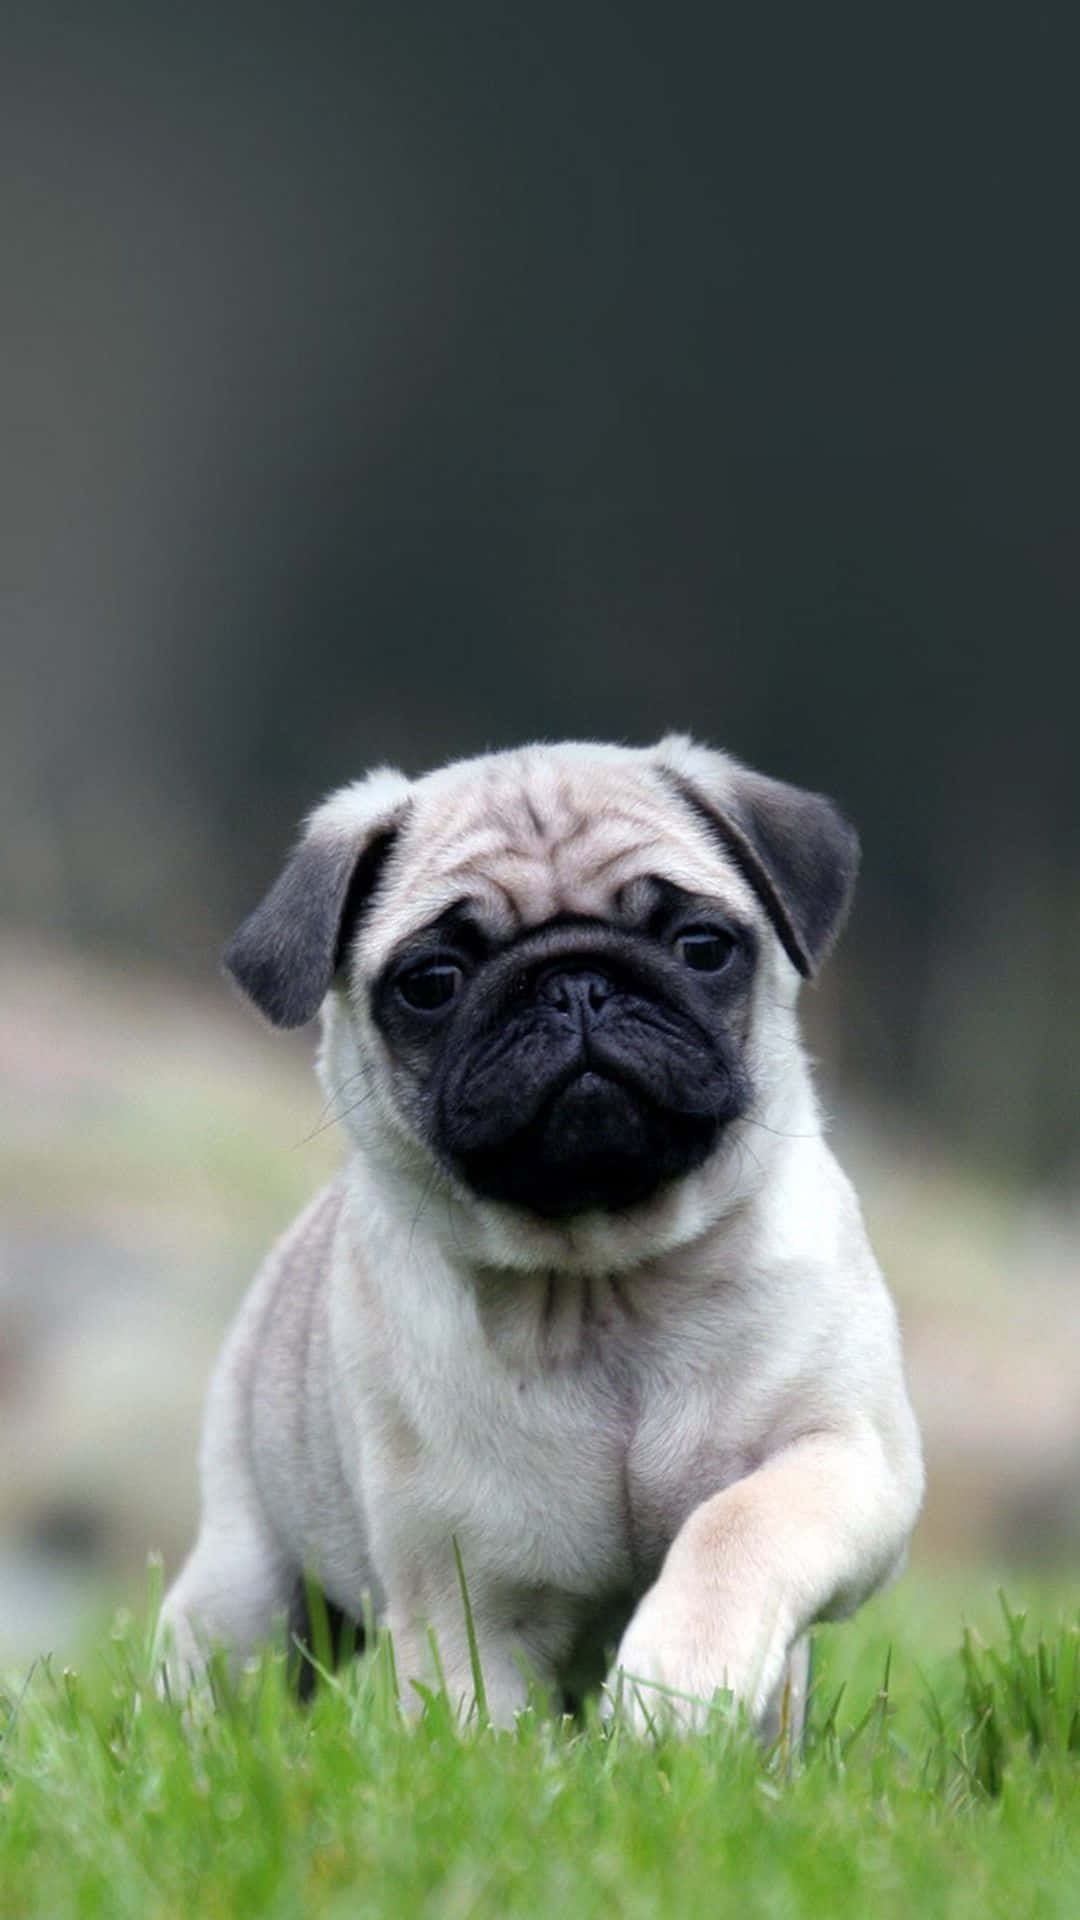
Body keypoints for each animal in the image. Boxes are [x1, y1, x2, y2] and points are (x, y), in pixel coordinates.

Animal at [157, 729, 914, 1728]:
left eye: (702, 946)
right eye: (432, 983)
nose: (575, 984)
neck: (603, 1283)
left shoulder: (844, 1456)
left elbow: (738, 1522)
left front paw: (680, 1678)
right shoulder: (466, 1611)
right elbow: (479, 1726)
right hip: (245, 1584)